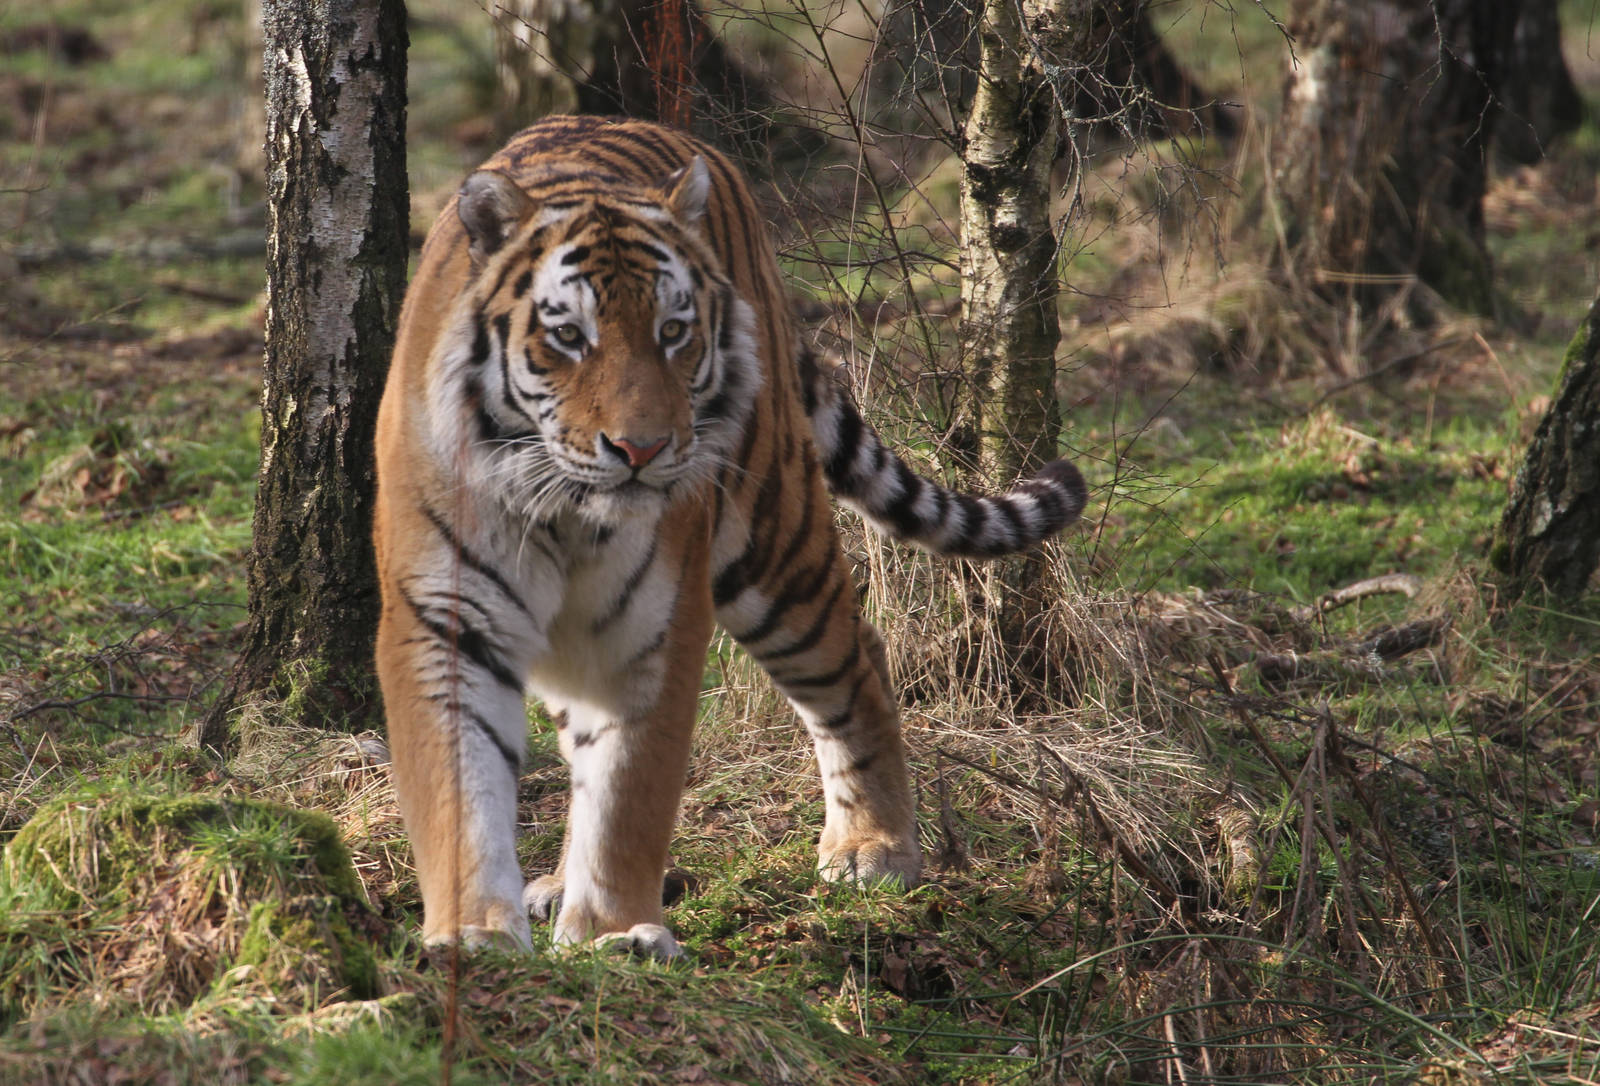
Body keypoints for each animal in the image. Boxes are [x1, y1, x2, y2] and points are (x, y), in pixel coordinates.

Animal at [374, 115, 1087, 958]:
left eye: (674, 332)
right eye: (569, 336)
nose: (642, 448)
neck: (562, 505)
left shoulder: (656, 630)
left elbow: (629, 793)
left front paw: (616, 932)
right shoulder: (445, 618)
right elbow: (459, 788)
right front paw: (475, 932)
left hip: (774, 542)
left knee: (856, 659)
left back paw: (873, 848)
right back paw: (551, 884)